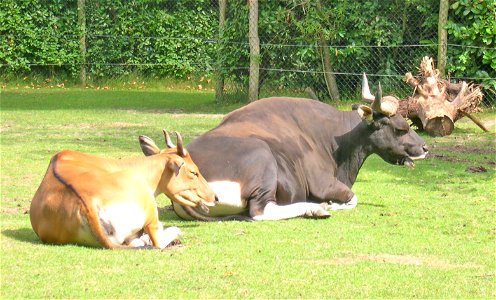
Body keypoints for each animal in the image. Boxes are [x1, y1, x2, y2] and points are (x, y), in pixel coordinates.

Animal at [143, 76, 426, 220]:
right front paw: (330, 205)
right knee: (260, 212)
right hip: (263, 159)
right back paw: (316, 208)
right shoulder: (324, 184)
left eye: (409, 123)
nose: (424, 147)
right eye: (400, 128)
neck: (332, 140)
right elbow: (352, 198)